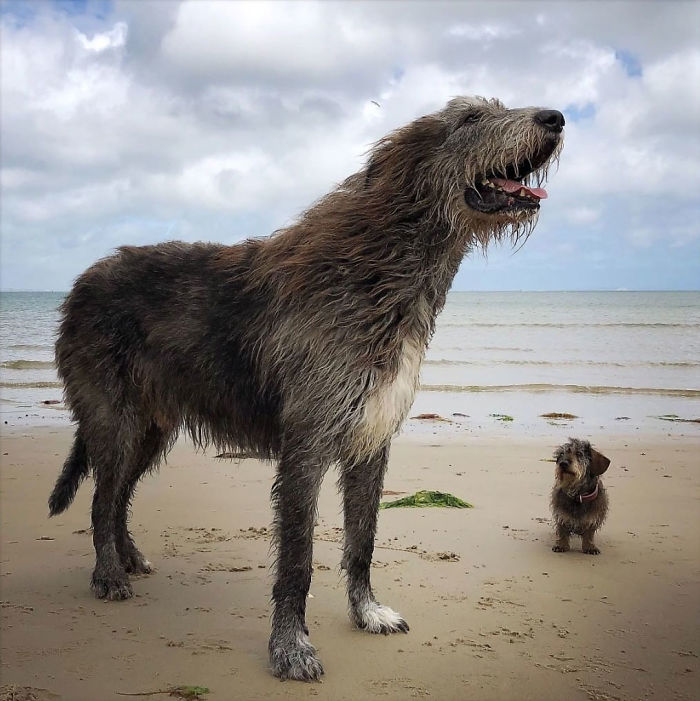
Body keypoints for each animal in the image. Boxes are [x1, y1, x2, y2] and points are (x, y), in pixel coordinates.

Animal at [49, 95, 564, 680]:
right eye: (470, 118)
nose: (555, 118)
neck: (378, 270)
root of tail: (80, 283)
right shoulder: (307, 444)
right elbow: (297, 560)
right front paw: (291, 647)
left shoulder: (372, 439)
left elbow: (363, 539)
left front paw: (368, 612)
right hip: (114, 418)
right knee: (101, 498)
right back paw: (110, 575)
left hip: (153, 428)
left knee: (118, 498)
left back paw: (130, 558)